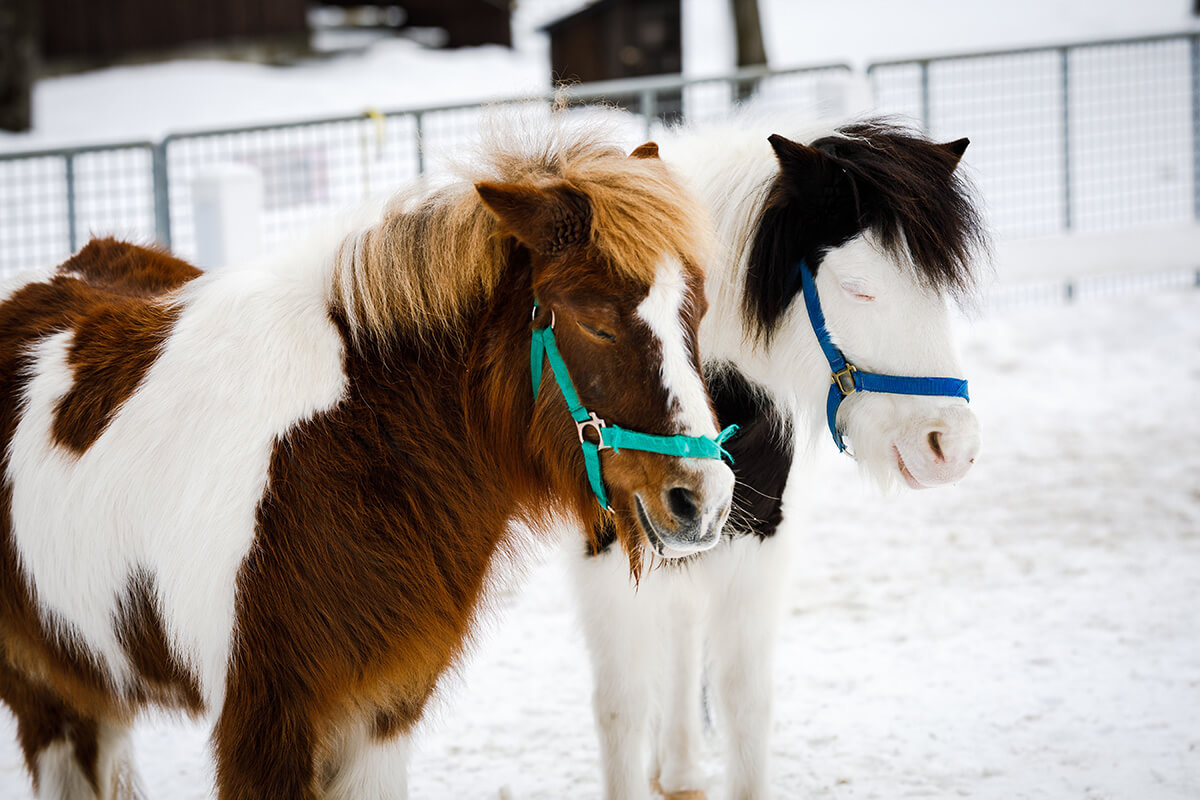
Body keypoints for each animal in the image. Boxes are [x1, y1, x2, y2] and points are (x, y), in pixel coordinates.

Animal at [0, 122, 729, 796]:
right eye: (594, 320)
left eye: (698, 310)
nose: (705, 499)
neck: (349, 449)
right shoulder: (266, 731)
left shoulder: (381, 716)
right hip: (51, 699)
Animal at [568, 118, 984, 800]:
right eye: (858, 288)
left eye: (939, 290)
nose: (951, 447)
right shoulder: (605, 551)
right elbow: (620, 710)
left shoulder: (757, 537)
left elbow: (744, 701)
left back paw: (681, 768)